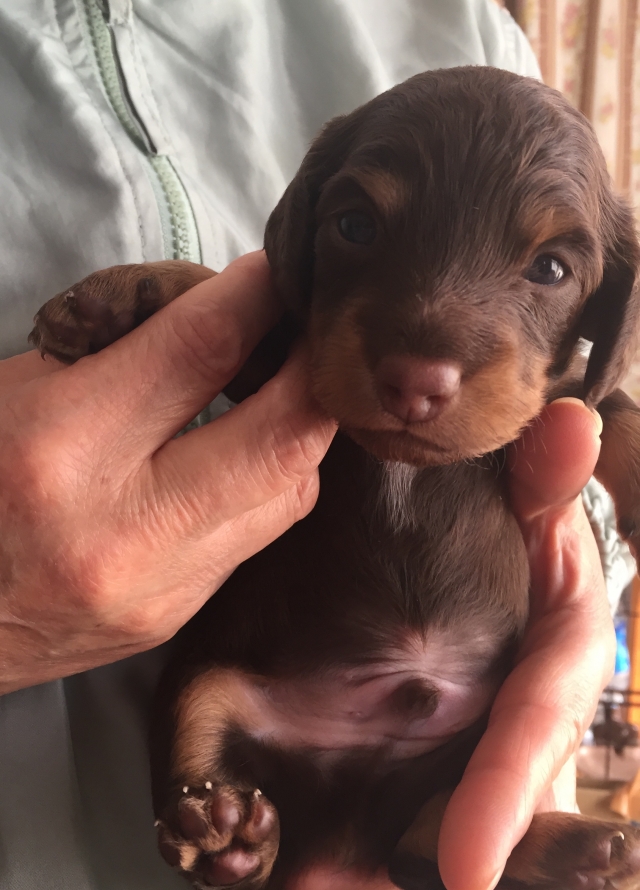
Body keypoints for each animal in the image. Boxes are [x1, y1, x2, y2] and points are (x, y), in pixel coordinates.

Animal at [29, 66, 640, 890]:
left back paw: (581, 850)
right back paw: (227, 834)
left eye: (551, 269)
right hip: (206, 688)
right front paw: (118, 296)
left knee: (427, 840)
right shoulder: (288, 358)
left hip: (472, 736)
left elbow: (609, 398)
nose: (415, 381)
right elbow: (230, 299)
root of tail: (342, 827)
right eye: (355, 226)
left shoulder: (557, 389)